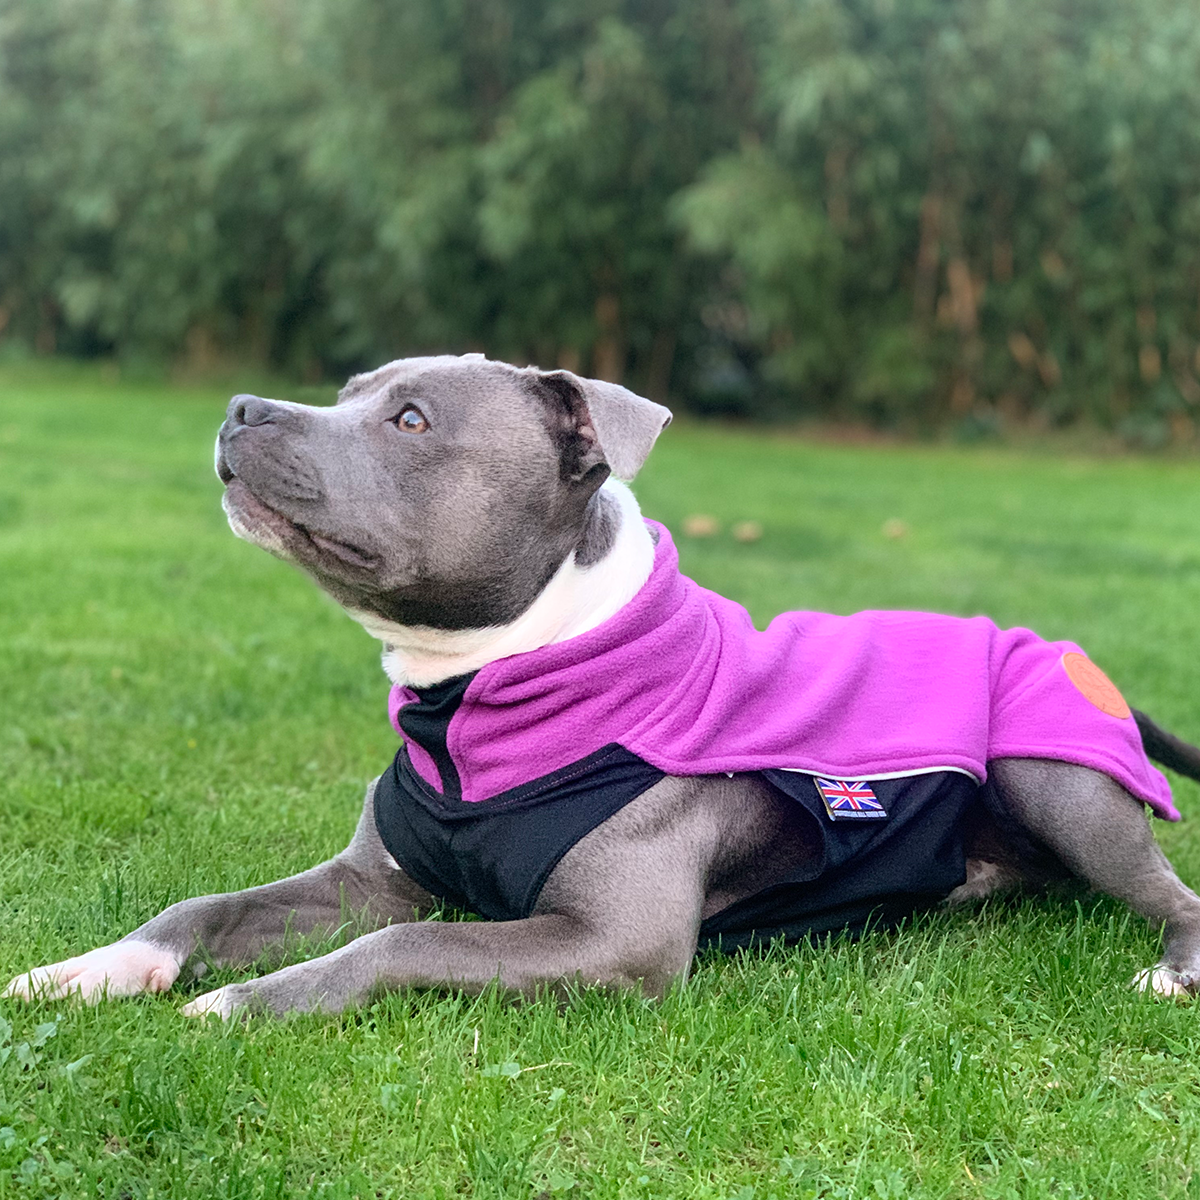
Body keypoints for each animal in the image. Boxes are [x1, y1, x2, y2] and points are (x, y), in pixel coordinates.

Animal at [7, 350, 1200, 1017]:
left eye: (411, 419)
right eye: (347, 394)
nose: (244, 407)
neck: (482, 691)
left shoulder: (613, 939)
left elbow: (406, 943)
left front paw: (243, 1004)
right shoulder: (368, 878)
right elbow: (203, 906)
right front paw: (93, 972)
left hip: (1058, 779)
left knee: (1173, 892)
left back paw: (1170, 972)